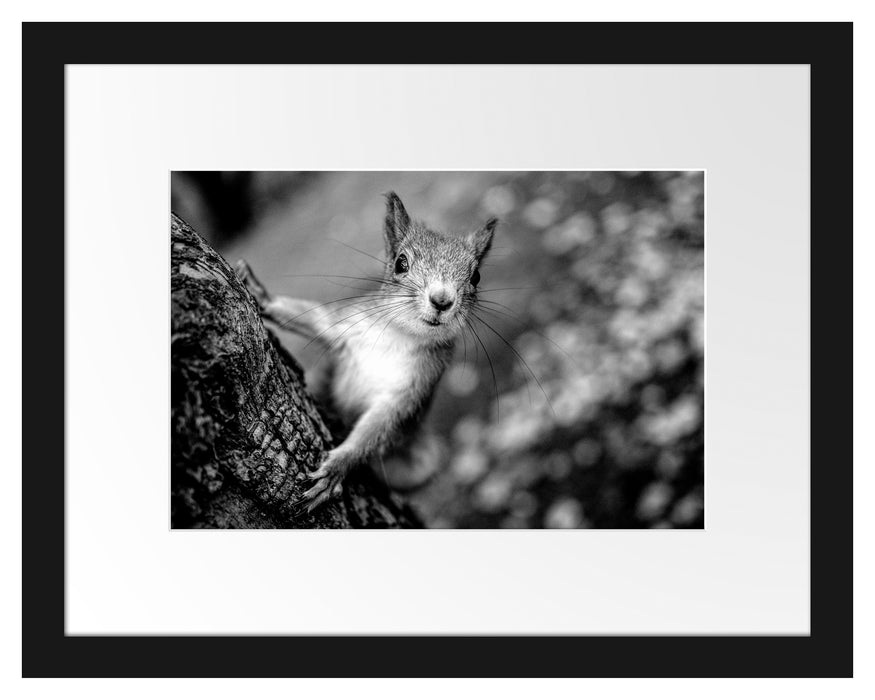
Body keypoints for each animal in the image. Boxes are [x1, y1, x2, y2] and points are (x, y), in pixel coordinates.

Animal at [235, 192, 497, 512]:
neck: (400, 336)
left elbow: (376, 429)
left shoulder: (414, 387)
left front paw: (338, 467)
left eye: (476, 277)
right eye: (400, 263)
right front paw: (263, 296)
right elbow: (315, 319)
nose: (442, 300)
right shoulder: (348, 326)